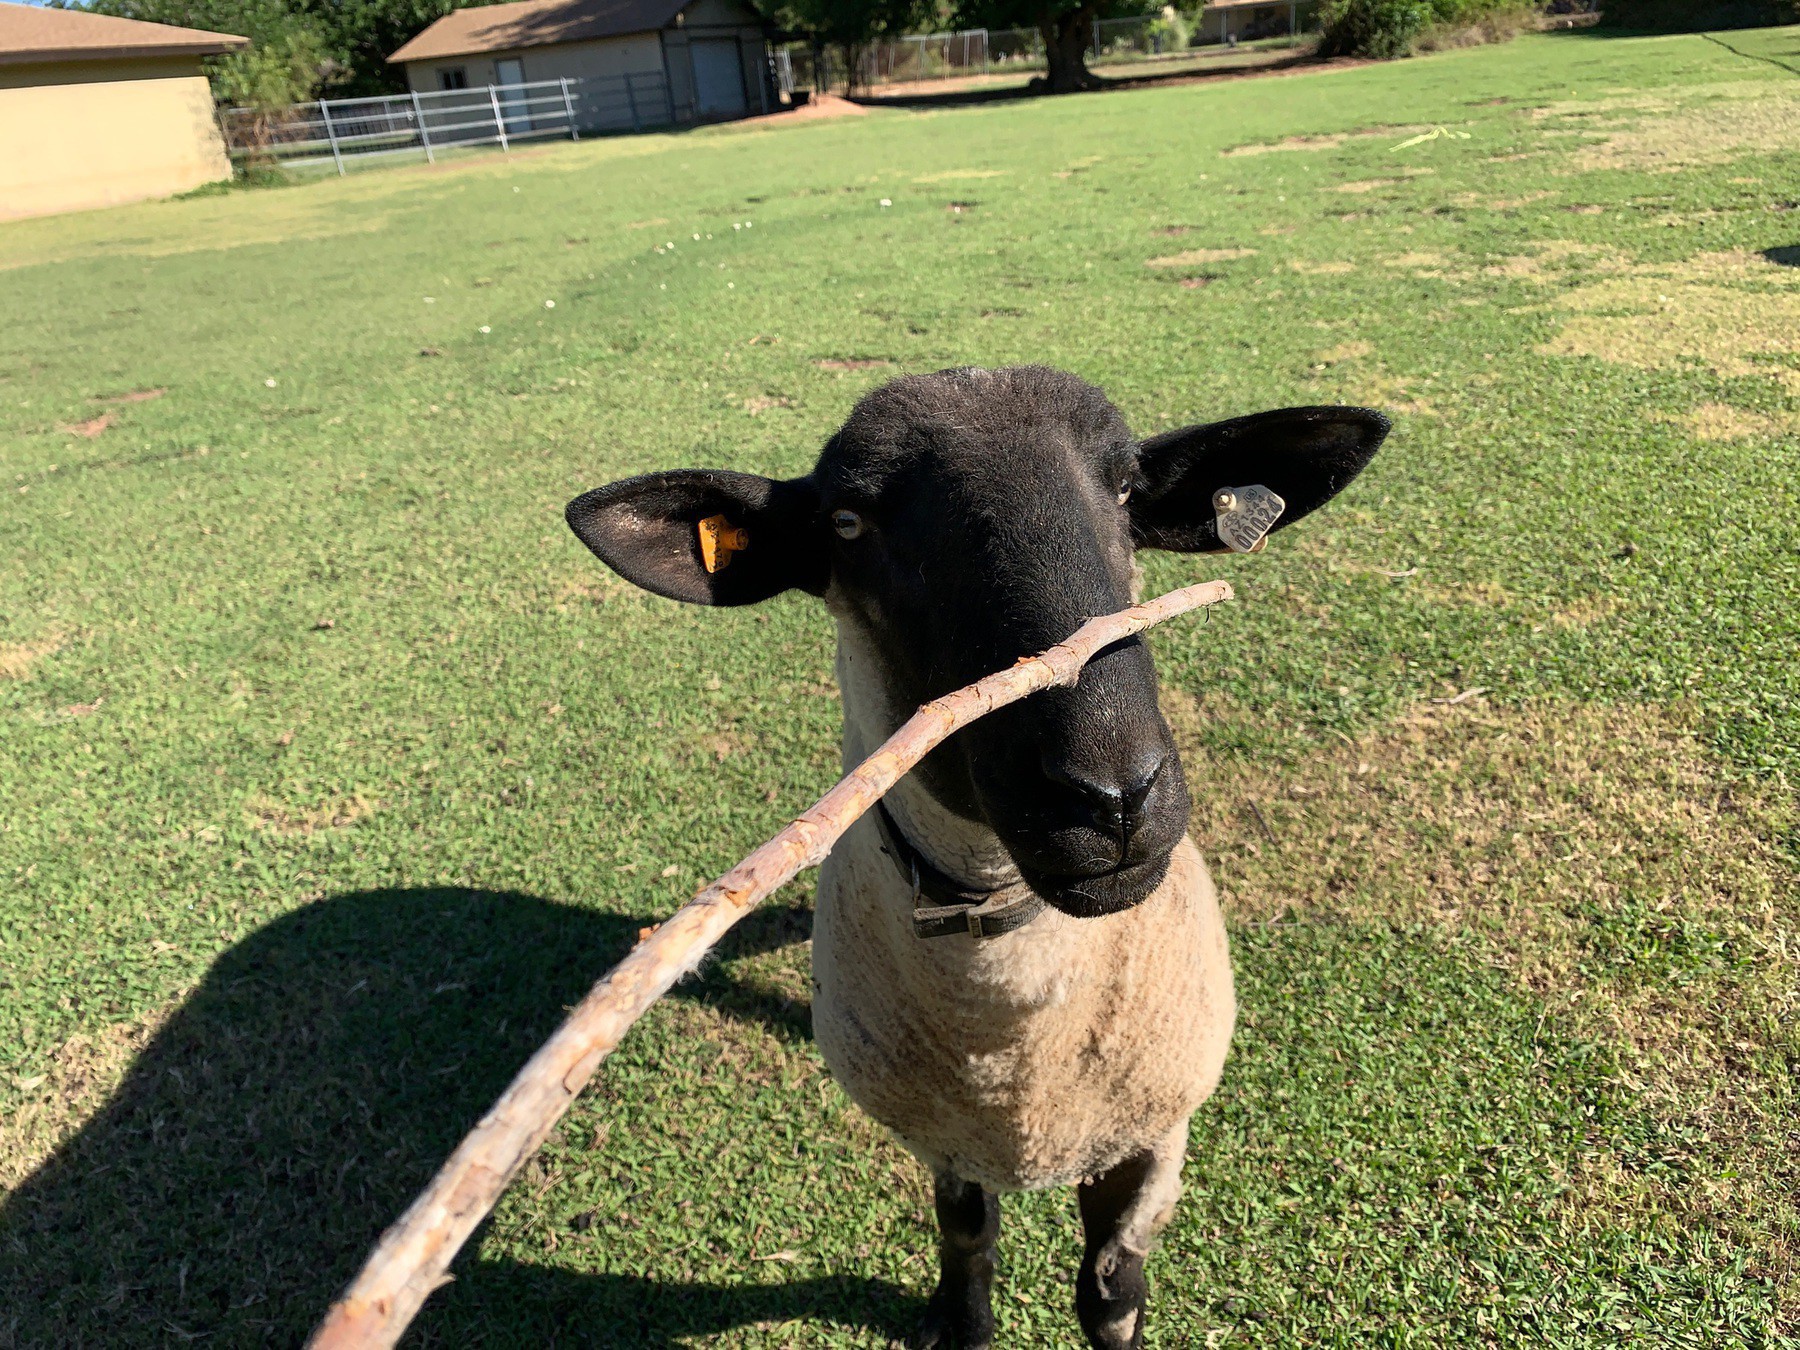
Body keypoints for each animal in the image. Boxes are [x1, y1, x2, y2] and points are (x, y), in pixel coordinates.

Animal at [568, 365, 1382, 1346]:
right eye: (849, 524)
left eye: (1125, 491)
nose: (1113, 796)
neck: (1013, 1044)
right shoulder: (941, 1134)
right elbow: (964, 1236)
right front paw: (961, 1320)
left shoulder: (1155, 1132)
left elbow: (1111, 1293)